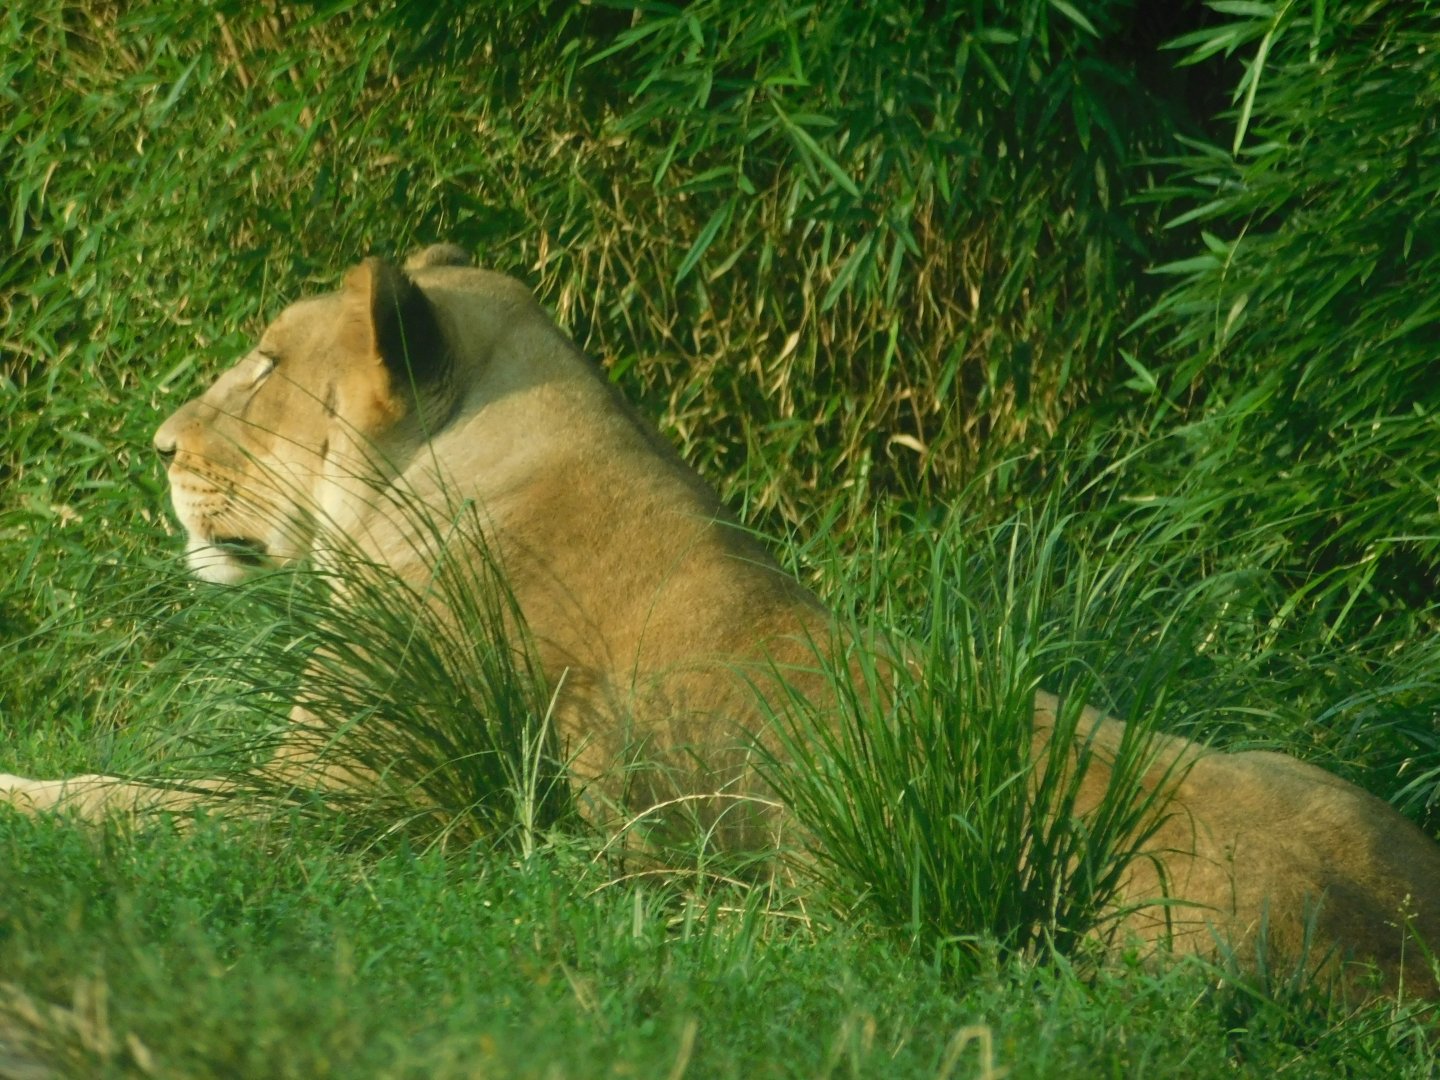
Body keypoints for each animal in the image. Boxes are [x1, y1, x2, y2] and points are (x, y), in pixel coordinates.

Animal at [3, 244, 1438, 999]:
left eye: (262, 367)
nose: (158, 444)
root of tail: (1401, 942)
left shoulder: (341, 802)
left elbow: (123, 796)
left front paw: (23, 795)